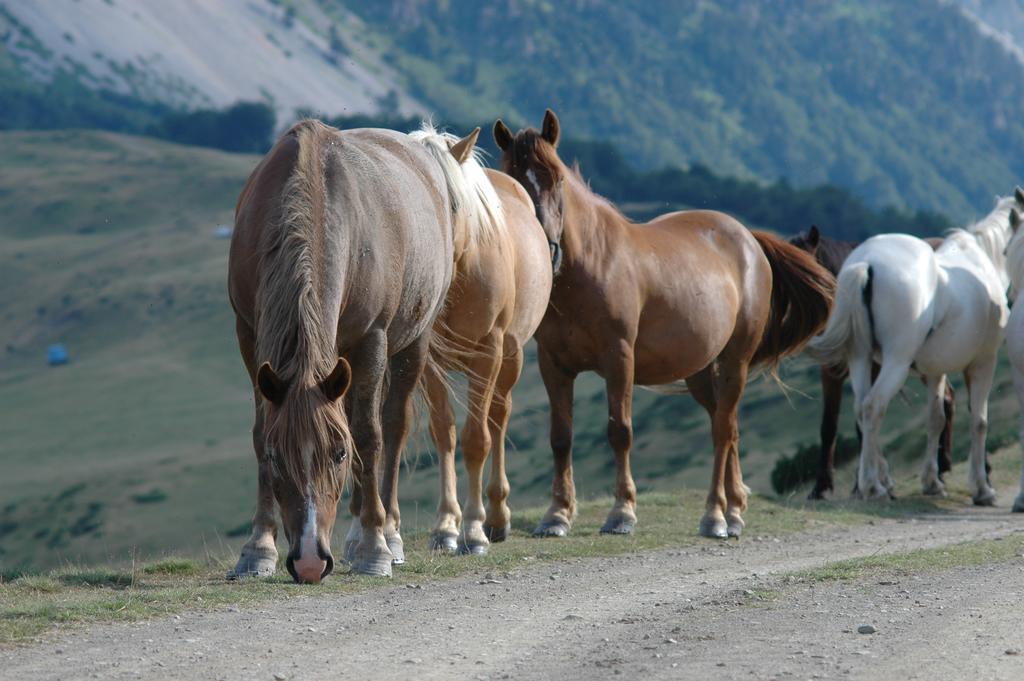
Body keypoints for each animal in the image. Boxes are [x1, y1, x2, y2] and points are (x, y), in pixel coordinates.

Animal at [226, 119, 466, 581]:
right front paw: (257, 548)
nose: (308, 561)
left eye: (338, 454)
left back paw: (385, 534)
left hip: (411, 344)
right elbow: (259, 430)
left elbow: (368, 436)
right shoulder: (248, 335)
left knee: (390, 425)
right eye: (276, 457)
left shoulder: (371, 339)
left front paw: (374, 547)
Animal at [403, 124, 557, 557]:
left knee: (498, 420)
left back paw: (498, 517)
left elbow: (477, 439)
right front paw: (445, 526)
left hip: (510, 357)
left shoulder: (488, 353)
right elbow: (445, 433)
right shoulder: (428, 362)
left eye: (453, 205)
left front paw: (473, 529)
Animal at [491, 110, 835, 536]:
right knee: (728, 425)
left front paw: (622, 512)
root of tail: (748, 239)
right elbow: (561, 437)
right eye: (512, 183)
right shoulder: (554, 365)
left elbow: (620, 431)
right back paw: (735, 507)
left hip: (735, 361)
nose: (547, 252)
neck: (593, 264)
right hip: (700, 371)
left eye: (556, 179)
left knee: (722, 431)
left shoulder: (619, 358)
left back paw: (716, 516)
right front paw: (557, 515)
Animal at [806, 193, 1015, 501]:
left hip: (860, 359)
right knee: (873, 407)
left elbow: (936, 418)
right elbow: (979, 421)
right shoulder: (983, 363)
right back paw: (873, 486)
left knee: (861, 409)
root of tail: (865, 264)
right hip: (896, 363)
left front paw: (932, 482)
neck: (982, 262)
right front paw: (982, 487)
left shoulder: (936, 371)